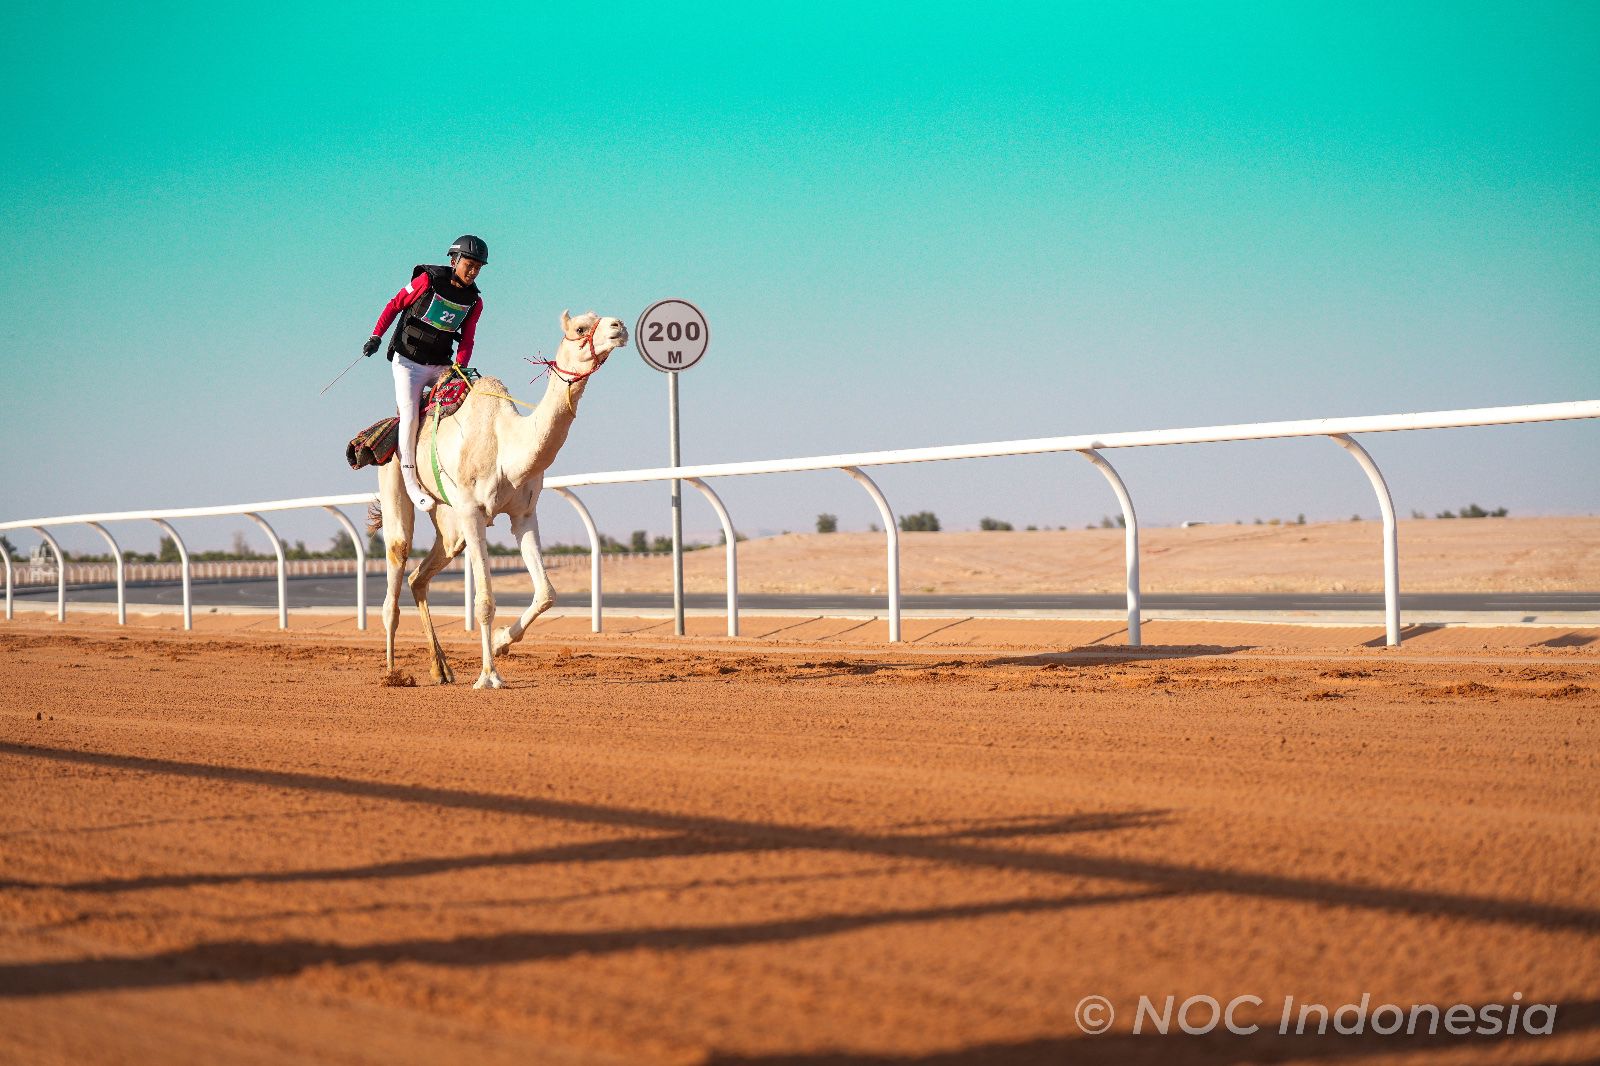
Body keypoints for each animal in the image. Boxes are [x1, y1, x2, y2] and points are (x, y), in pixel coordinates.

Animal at [370, 310, 628, 688]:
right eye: (581, 327)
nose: (618, 327)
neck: (507, 443)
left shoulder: (524, 514)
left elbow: (547, 593)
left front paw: (502, 640)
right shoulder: (473, 511)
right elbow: (485, 600)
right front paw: (489, 676)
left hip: (450, 525)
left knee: (420, 575)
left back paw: (441, 669)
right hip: (397, 481)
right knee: (398, 558)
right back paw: (392, 673)